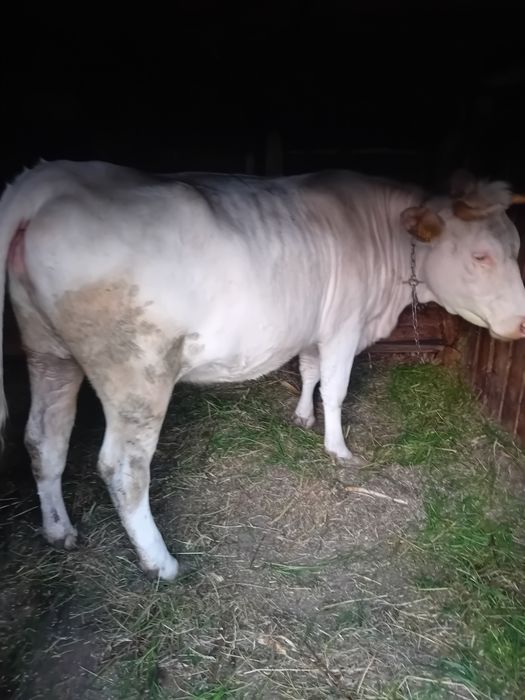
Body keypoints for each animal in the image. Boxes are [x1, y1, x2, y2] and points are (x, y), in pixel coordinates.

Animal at [0, 160, 524, 580]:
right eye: (480, 255)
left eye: (516, 249)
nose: (522, 322)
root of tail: (51, 179)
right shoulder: (344, 325)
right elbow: (335, 387)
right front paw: (339, 449)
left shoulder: (315, 325)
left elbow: (310, 372)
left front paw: (303, 417)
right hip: (136, 372)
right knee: (123, 468)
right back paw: (161, 563)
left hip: (48, 351)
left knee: (44, 438)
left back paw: (59, 530)